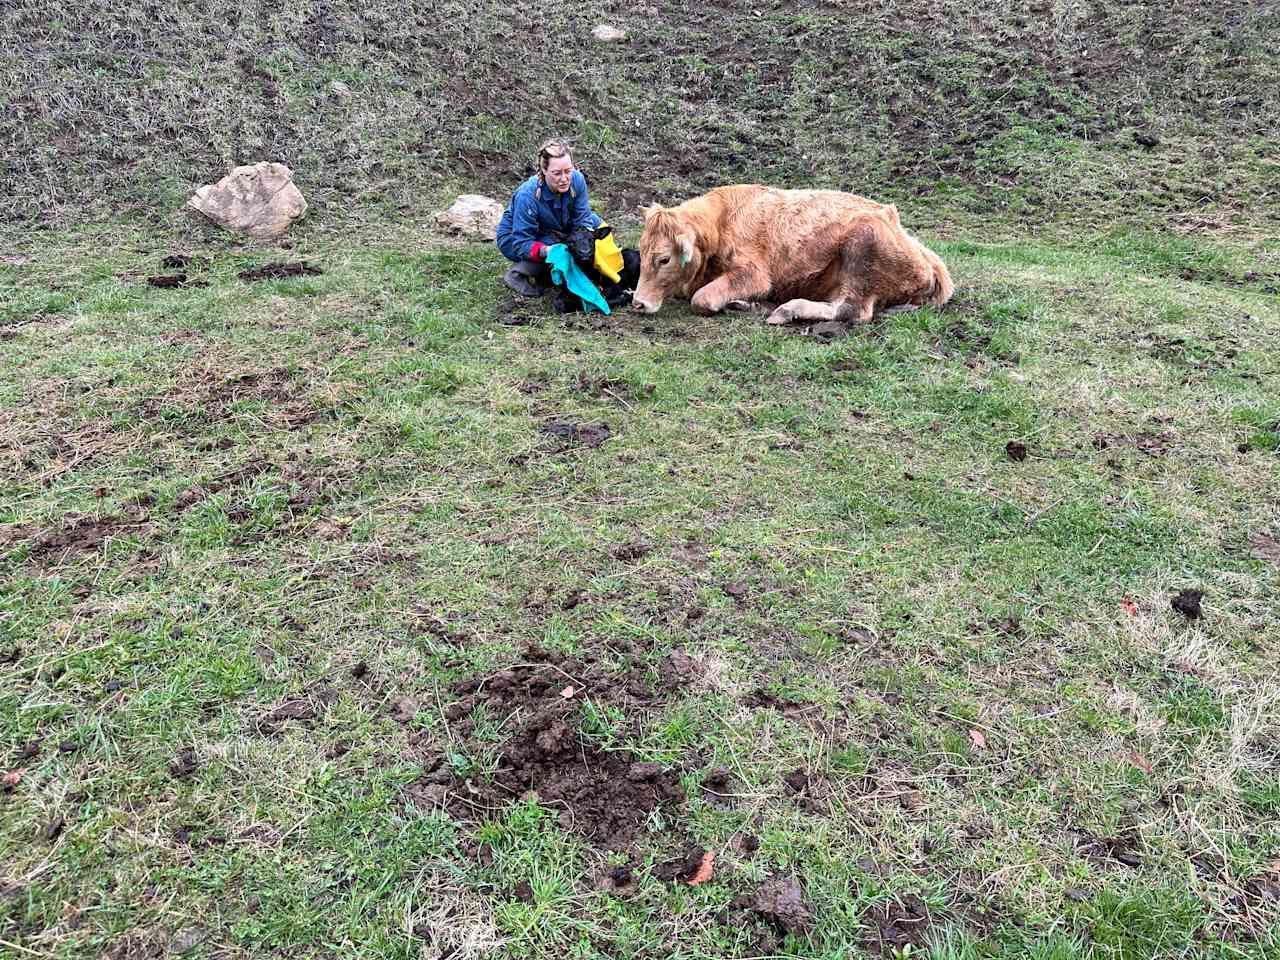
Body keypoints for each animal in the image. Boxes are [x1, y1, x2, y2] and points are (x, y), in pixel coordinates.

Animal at [634, 184, 957, 323]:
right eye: (642, 251)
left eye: (664, 259)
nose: (638, 303)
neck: (722, 220)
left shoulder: (754, 273)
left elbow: (701, 298)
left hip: (862, 248)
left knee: (853, 310)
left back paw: (787, 310)